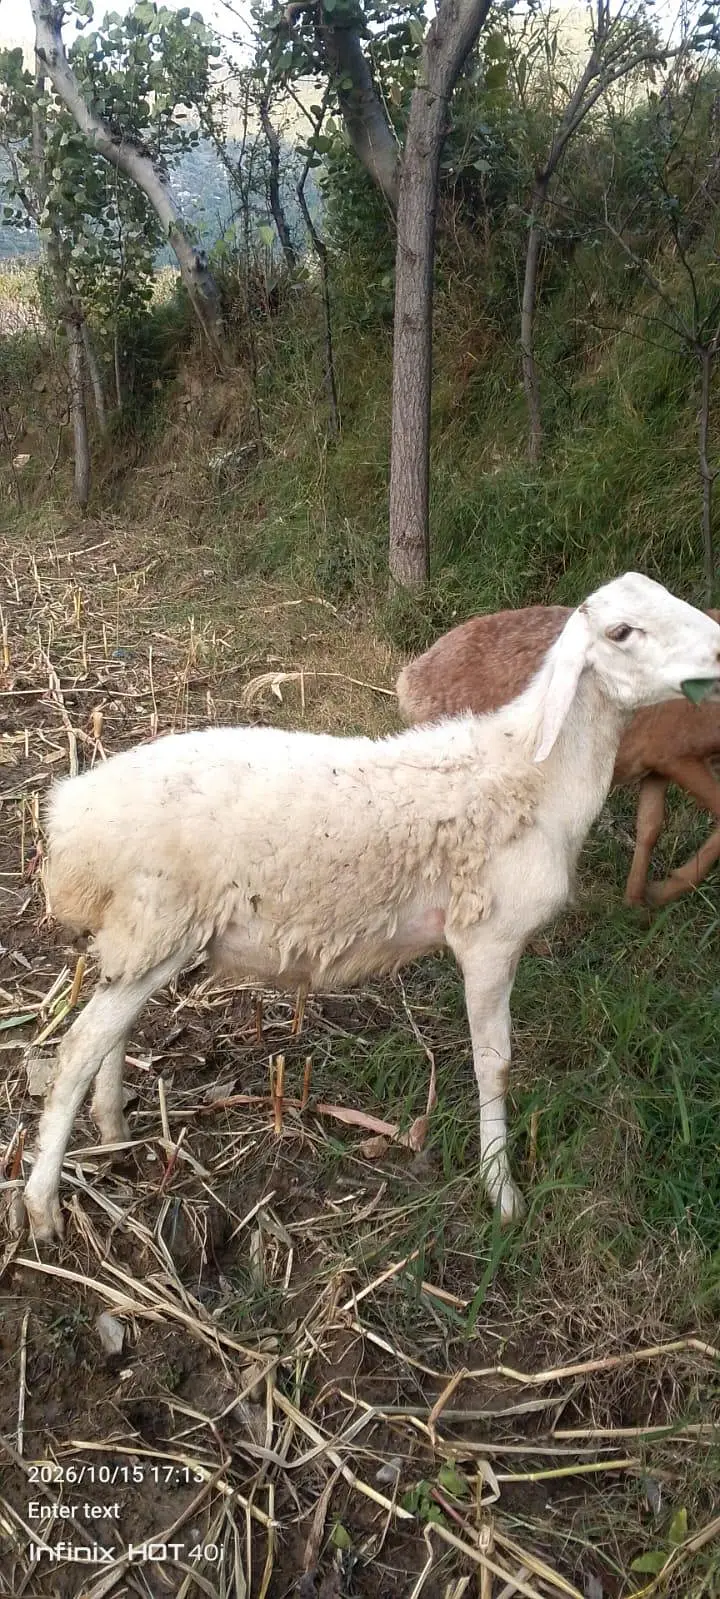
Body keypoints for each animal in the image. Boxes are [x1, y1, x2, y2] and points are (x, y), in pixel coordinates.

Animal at [397, 604, 720, 908]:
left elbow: (650, 827)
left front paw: (637, 902)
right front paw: (666, 889)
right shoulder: (676, 754)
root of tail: (408, 680)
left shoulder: (656, 765)